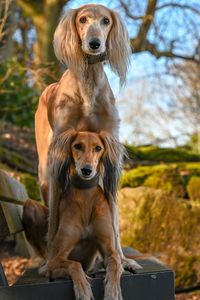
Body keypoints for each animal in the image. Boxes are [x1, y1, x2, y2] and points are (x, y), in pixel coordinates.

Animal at [34, 4, 141, 272]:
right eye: (82, 20)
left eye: (105, 21)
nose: (95, 43)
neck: (89, 84)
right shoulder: (59, 154)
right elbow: (55, 220)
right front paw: (51, 261)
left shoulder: (109, 148)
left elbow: (113, 218)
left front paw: (121, 260)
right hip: (44, 171)